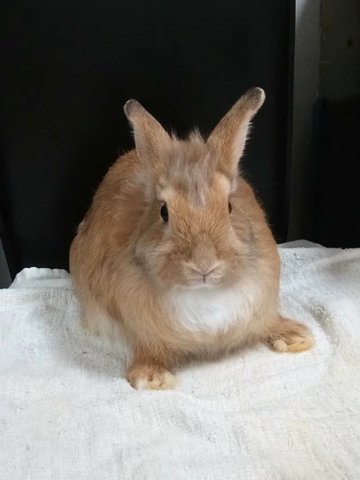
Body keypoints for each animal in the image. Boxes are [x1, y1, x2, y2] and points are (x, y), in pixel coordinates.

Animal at [69, 87, 312, 390]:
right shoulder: (142, 332)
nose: (204, 265)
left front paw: (297, 338)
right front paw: (152, 379)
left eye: (229, 206)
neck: (204, 293)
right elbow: (147, 351)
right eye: (164, 212)